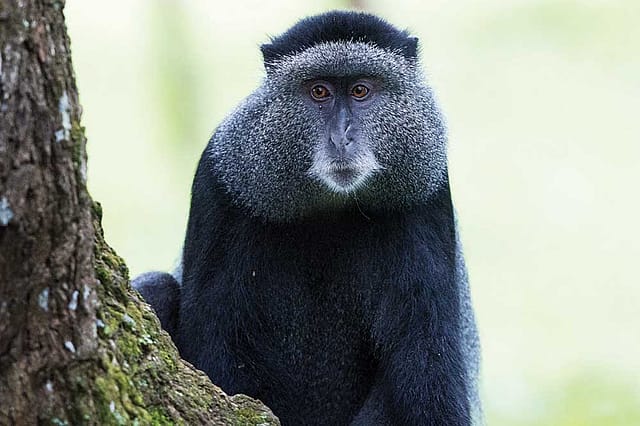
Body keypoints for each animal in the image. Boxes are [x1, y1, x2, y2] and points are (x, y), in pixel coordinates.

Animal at [133, 11, 481, 426]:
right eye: (319, 92)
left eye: (360, 90)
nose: (341, 137)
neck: (330, 207)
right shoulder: (220, 181)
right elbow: (215, 343)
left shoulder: (428, 196)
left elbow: (428, 357)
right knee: (156, 285)